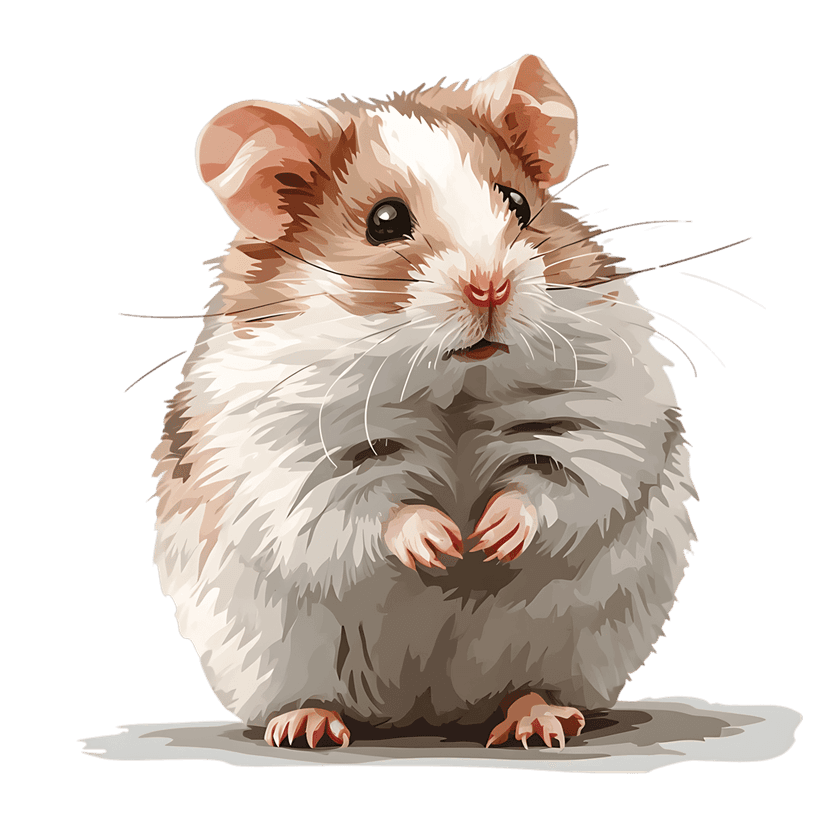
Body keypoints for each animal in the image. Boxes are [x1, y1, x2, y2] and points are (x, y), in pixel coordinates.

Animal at [151, 54, 696, 750]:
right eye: (384, 222)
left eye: (518, 202)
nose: (491, 287)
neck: (452, 387)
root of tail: (427, 713)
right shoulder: (288, 451)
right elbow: (370, 503)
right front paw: (441, 544)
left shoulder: (603, 415)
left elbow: (556, 482)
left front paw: (488, 538)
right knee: (312, 696)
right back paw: (305, 726)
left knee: (527, 689)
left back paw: (540, 723)